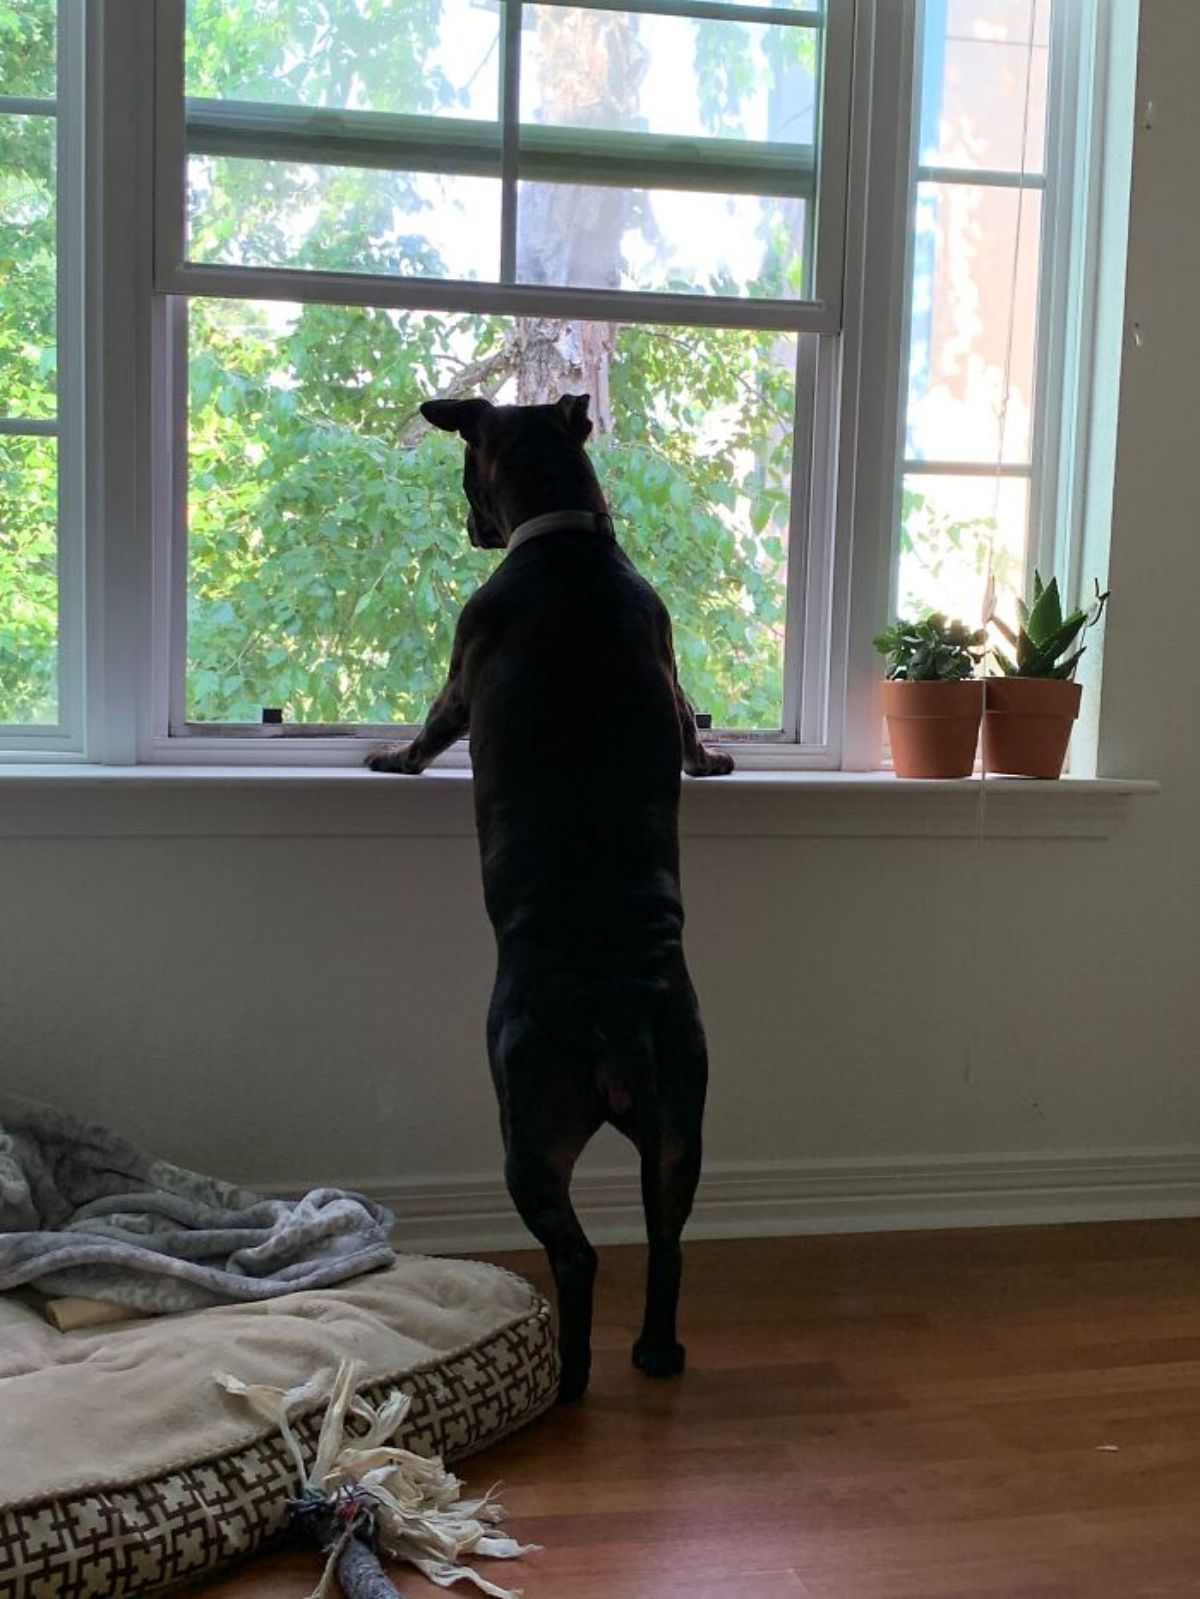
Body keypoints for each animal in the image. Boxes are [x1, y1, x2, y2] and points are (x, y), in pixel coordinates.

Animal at [371, 390, 739, 1400]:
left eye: (467, 473)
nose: (470, 526)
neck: (567, 538)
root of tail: (614, 1011)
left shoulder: (461, 667)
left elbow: (430, 727)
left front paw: (389, 756)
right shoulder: (671, 665)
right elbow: (690, 725)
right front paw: (715, 757)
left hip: (528, 1134)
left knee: (577, 1256)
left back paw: (572, 1374)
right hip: (679, 1126)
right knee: (666, 1241)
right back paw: (656, 1351)